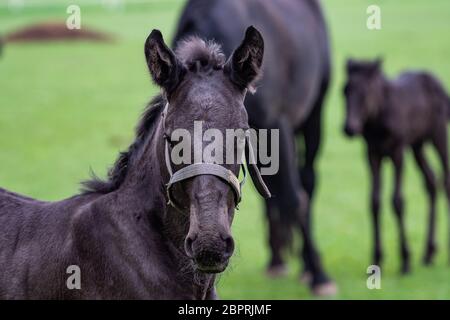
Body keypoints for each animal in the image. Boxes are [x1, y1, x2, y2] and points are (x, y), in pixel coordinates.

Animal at [174, 0, 336, 296]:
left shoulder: (277, 126)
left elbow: (294, 198)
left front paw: (319, 275)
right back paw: (278, 260)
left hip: (312, 114)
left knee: (306, 182)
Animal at [344, 58, 450, 274]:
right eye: (345, 91)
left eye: (365, 92)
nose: (349, 128)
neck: (378, 118)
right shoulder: (372, 154)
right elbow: (374, 201)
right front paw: (377, 257)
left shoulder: (397, 152)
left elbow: (397, 201)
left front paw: (405, 260)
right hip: (417, 145)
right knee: (431, 182)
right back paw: (428, 252)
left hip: (438, 134)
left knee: (446, 181)